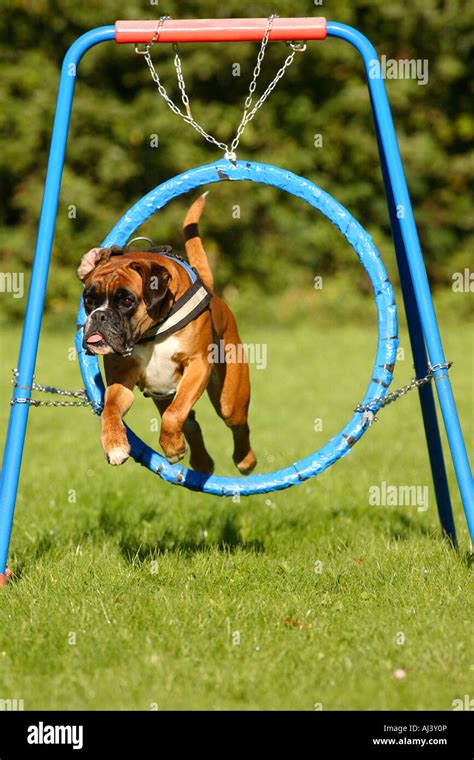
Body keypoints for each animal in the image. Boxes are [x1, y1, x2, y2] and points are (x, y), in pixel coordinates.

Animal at [77, 193, 256, 476]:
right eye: (88, 300)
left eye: (126, 300)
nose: (99, 316)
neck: (152, 330)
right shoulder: (121, 380)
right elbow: (111, 409)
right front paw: (115, 445)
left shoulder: (197, 366)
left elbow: (176, 413)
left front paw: (171, 448)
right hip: (161, 394)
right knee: (190, 422)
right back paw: (200, 462)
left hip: (230, 397)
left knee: (235, 423)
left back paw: (245, 460)